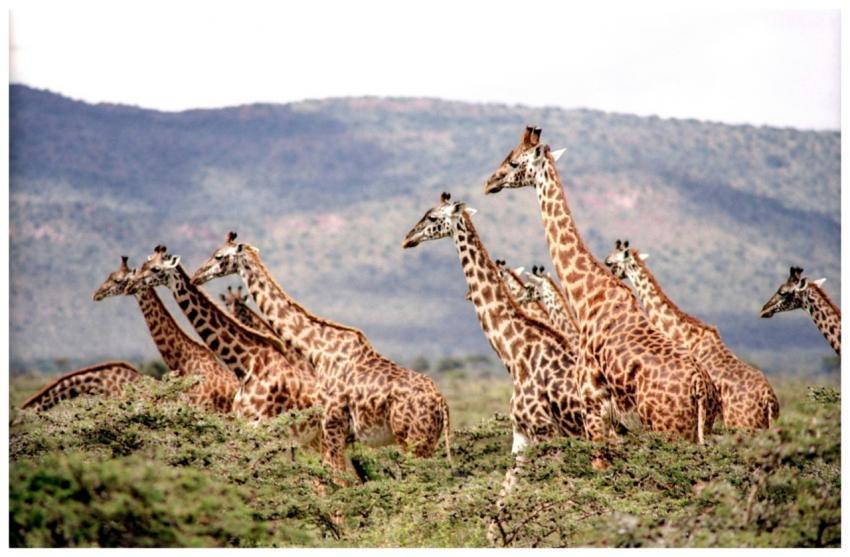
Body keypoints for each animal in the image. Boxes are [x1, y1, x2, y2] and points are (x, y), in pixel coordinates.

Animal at [190, 232, 452, 478]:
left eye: (219, 256)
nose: (196, 276)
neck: (318, 350)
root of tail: (442, 403)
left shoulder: (332, 424)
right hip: (425, 441)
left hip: (412, 439)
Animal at [402, 192, 615, 544]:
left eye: (432, 218)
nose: (408, 238)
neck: (514, 355)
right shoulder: (521, 436)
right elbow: (500, 504)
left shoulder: (545, 433)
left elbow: (561, 495)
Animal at [484, 126, 719, 443]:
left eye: (513, 162)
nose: (489, 183)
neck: (587, 295)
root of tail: (701, 389)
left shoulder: (592, 403)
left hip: (668, 429)